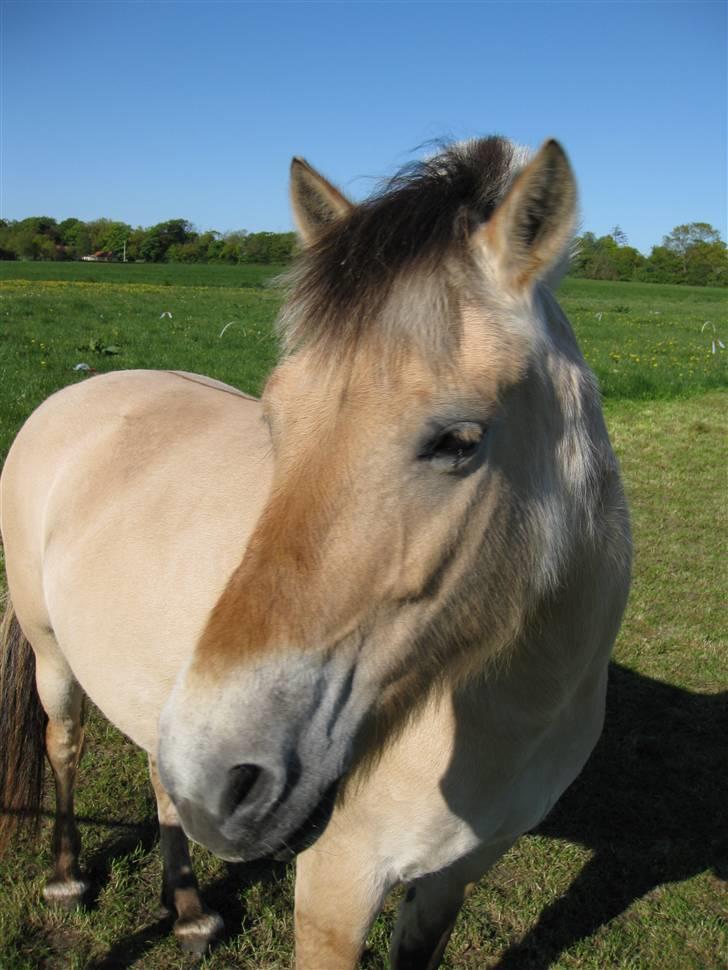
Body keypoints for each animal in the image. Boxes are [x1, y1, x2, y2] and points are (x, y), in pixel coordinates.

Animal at [0, 132, 632, 964]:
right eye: (276, 420)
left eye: (460, 442)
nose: (223, 776)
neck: (512, 712)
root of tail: (77, 391)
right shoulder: (337, 888)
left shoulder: (457, 876)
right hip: (55, 656)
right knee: (64, 740)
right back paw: (67, 878)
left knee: (161, 780)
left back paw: (189, 911)